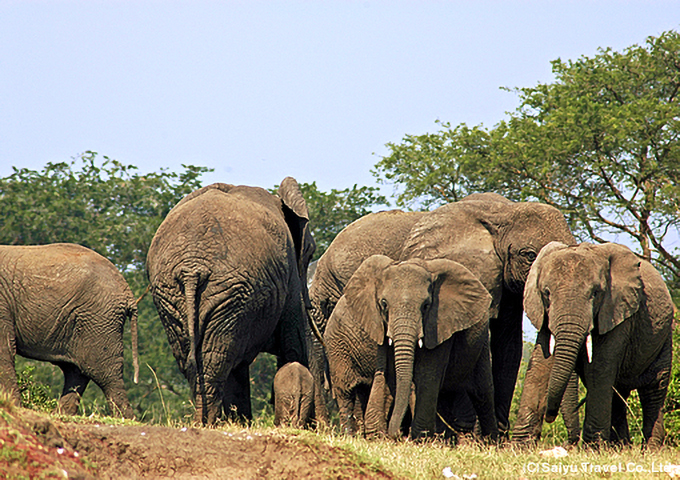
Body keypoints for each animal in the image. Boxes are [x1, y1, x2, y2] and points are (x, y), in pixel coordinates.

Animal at [0, 244, 139, 416]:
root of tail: (127, 292)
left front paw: (12, 406)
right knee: (75, 371)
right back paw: (60, 414)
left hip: (100, 318)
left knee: (105, 374)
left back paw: (125, 418)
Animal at [147, 179, 316, 424]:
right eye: (311, 253)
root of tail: (192, 268)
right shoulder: (291, 272)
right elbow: (296, 346)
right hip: (224, 294)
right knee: (214, 362)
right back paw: (209, 423)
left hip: (182, 296)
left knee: (199, 361)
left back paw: (206, 422)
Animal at [326, 256, 496, 440]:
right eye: (384, 304)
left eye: (426, 305)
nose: (397, 435)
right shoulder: (379, 324)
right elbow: (386, 372)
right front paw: (377, 435)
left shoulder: (438, 326)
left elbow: (427, 375)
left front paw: (420, 438)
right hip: (337, 345)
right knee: (345, 391)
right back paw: (349, 435)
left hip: (483, 343)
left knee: (483, 394)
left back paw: (490, 442)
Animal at [520, 242, 676, 448]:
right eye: (546, 293)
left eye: (595, 293)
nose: (549, 416)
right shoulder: (545, 315)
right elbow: (540, 364)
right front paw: (518, 446)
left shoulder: (617, 312)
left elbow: (599, 368)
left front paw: (593, 449)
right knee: (618, 396)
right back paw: (621, 447)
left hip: (664, 335)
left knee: (654, 390)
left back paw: (650, 448)